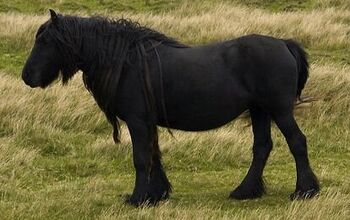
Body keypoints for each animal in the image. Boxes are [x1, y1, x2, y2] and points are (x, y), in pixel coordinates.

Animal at [21, 9, 320, 206]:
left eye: (46, 41)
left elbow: (141, 158)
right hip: (259, 111)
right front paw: (156, 194)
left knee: (297, 142)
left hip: (279, 111)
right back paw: (245, 191)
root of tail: (284, 44)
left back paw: (305, 191)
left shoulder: (138, 121)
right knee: (261, 148)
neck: (126, 63)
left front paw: (137, 198)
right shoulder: (147, 122)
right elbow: (154, 155)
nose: (27, 77)